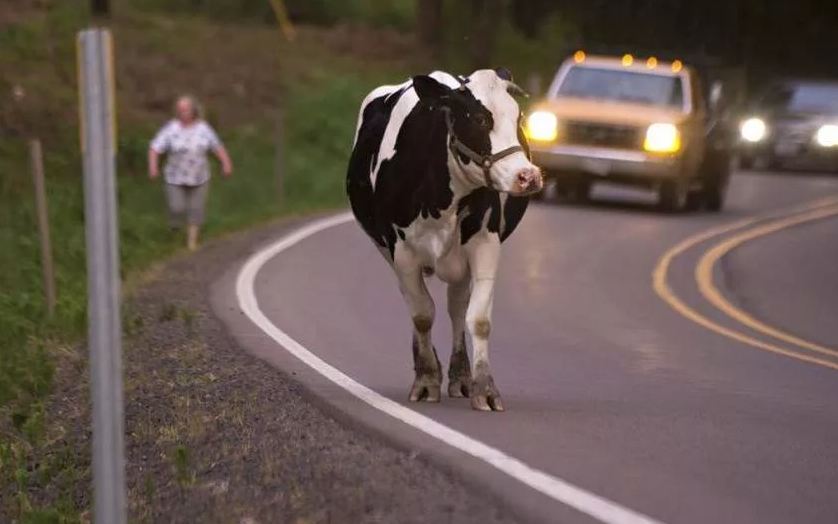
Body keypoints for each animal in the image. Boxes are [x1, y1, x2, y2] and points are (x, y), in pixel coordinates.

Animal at [348, 69, 544, 412]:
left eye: (518, 117)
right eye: (480, 119)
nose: (528, 176)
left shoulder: (485, 243)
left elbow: (478, 319)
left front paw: (485, 388)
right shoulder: (401, 251)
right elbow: (422, 315)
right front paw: (426, 380)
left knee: (456, 307)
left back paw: (460, 376)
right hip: (386, 250)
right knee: (415, 302)